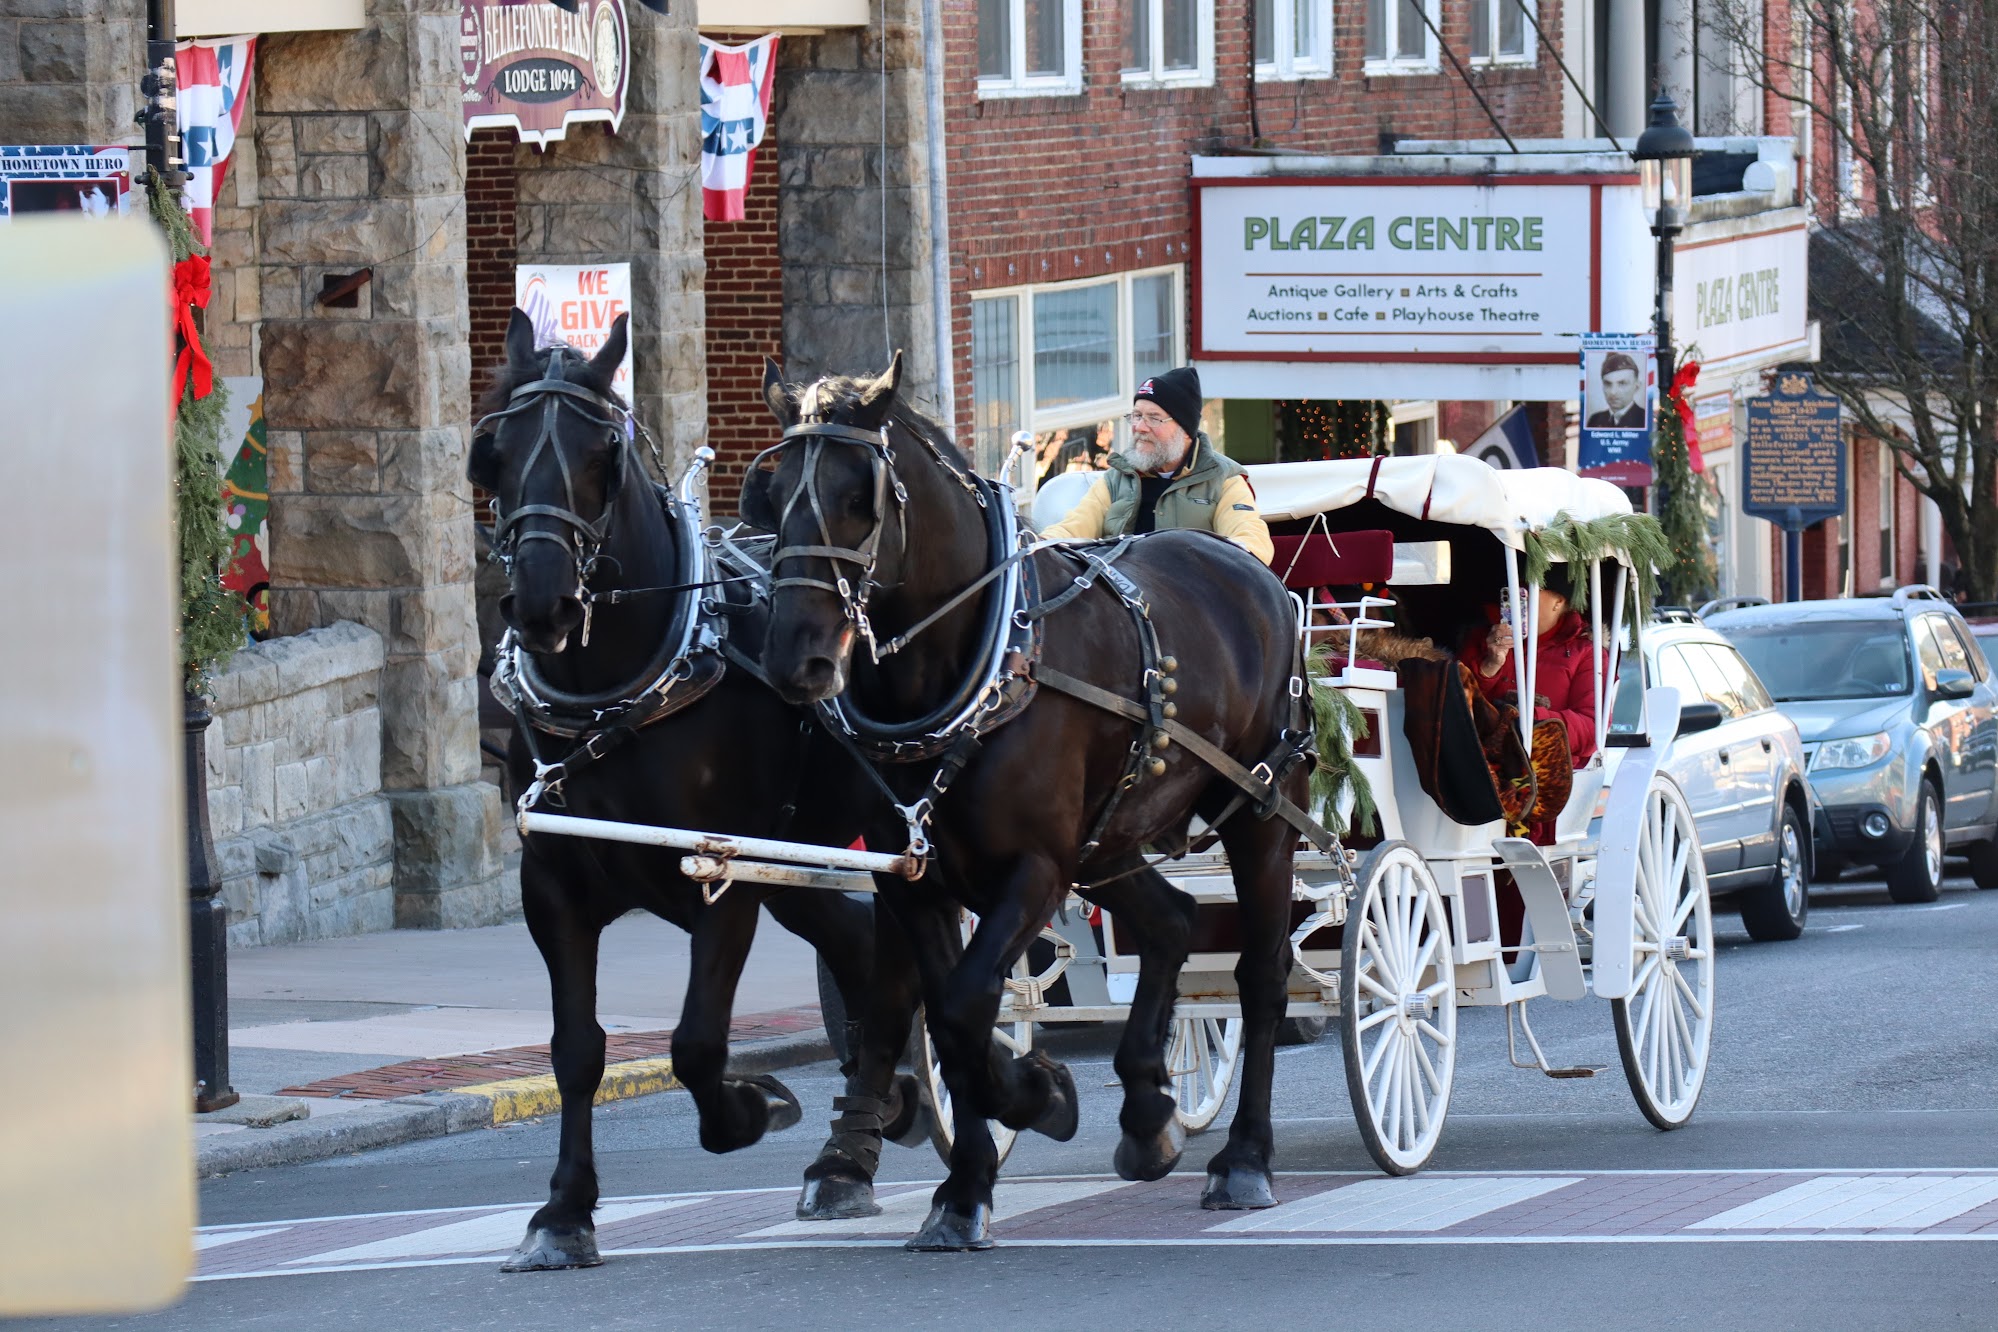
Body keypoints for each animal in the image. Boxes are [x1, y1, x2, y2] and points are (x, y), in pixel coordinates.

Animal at [471, 313, 923, 1270]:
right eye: (492, 452)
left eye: (601, 451)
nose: (541, 602)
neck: (620, 691)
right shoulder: (552, 886)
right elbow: (577, 1051)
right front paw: (562, 1212)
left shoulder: (726, 873)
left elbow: (696, 1043)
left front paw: (754, 1106)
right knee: (862, 953)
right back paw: (883, 1111)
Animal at [751, 351, 1310, 1254]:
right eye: (769, 495)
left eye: (860, 494)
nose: (794, 655)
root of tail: (1250, 570)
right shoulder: (918, 881)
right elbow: (951, 1017)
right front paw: (966, 1186)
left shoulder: (1034, 869)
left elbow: (966, 1004)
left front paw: (1036, 1096)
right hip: (1112, 839)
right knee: (1173, 923)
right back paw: (1147, 1110)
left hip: (1260, 812)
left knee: (1261, 974)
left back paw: (1243, 1159)